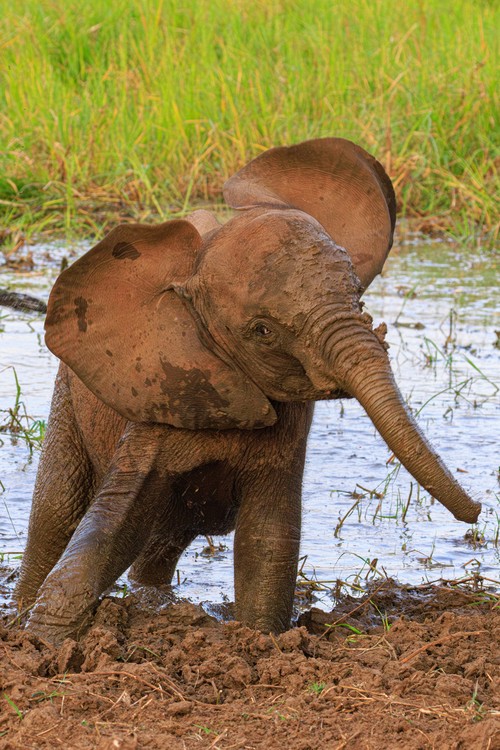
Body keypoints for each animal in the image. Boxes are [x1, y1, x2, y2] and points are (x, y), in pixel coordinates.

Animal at [15, 137, 481, 644]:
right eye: (262, 331)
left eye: (358, 297)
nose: (478, 511)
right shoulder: (158, 396)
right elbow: (114, 519)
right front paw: (41, 642)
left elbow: (269, 538)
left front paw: (262, 640)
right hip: (70, 397)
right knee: (56, 513)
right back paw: (24, 608)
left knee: (160, 543)